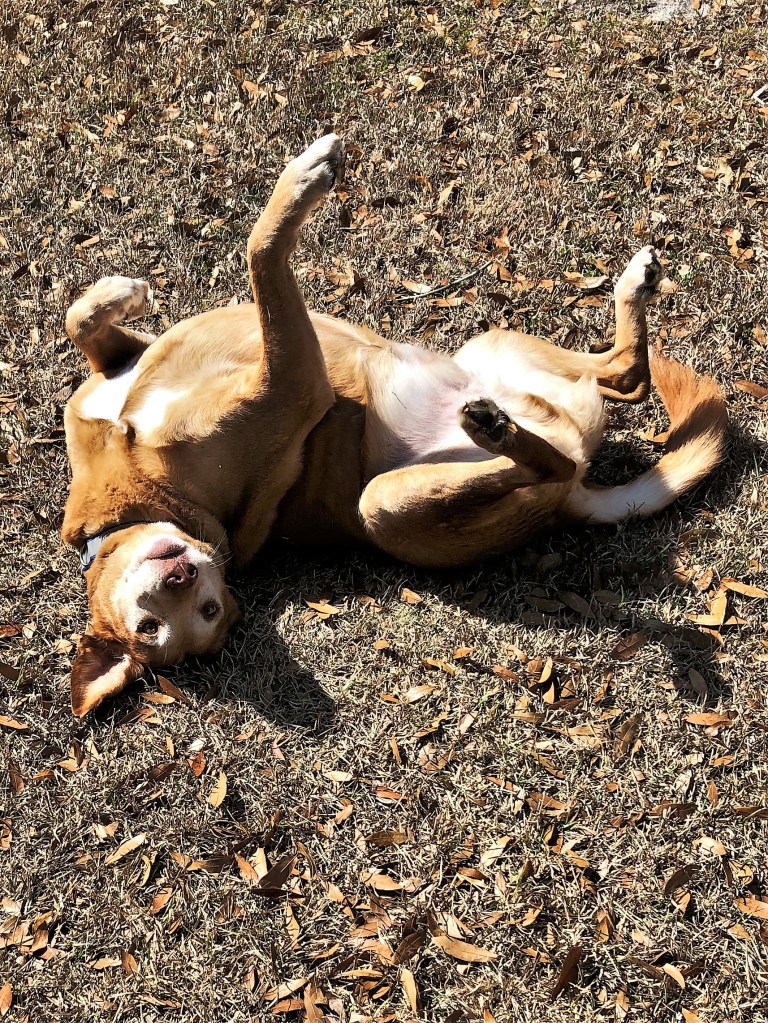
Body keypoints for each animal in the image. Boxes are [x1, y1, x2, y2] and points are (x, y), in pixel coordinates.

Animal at [61, 134, 727, 716]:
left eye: (193, 610)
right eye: (160, 624)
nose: (181, 574)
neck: (143, 502)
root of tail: (571, 504)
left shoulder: (126, 373)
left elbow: (83, 322)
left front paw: (119, 291)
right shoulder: (295, 381)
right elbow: (261, 251)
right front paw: (303, 179)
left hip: (493, 344)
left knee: (625, 373)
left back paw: (630, 287)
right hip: (385, 505)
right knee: (570, 440)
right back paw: (495, 429)